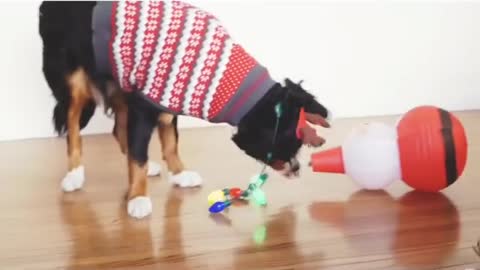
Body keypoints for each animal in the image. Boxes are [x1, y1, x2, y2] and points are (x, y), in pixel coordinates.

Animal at [38, 1, 330, 218]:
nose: (297, 168)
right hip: (75, 84)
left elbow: (169, 144)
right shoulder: (144, 104)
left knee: (118, 128)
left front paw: (178, 174)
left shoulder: (167, 100)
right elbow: (139, 153)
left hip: (121, 81)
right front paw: (138, 196)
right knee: (73, 127)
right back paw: (74, 174)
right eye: (289, 143)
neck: (218, 75)